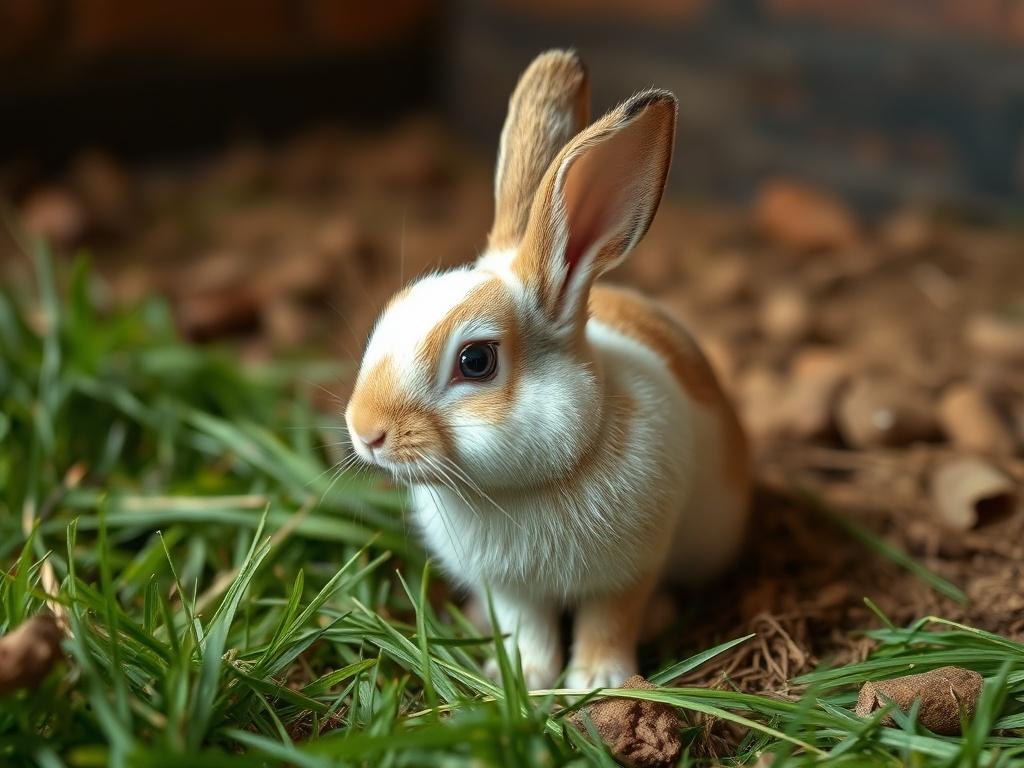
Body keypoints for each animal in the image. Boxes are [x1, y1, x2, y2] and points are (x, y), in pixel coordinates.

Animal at [345, 49, 750, 691]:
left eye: (476, 361)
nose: (366, 432)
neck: (527, 486)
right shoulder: (511, 590)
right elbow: (528, 630)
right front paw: (523, 678)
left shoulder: (628, 571)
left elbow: (610, 621)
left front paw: (596, 682)